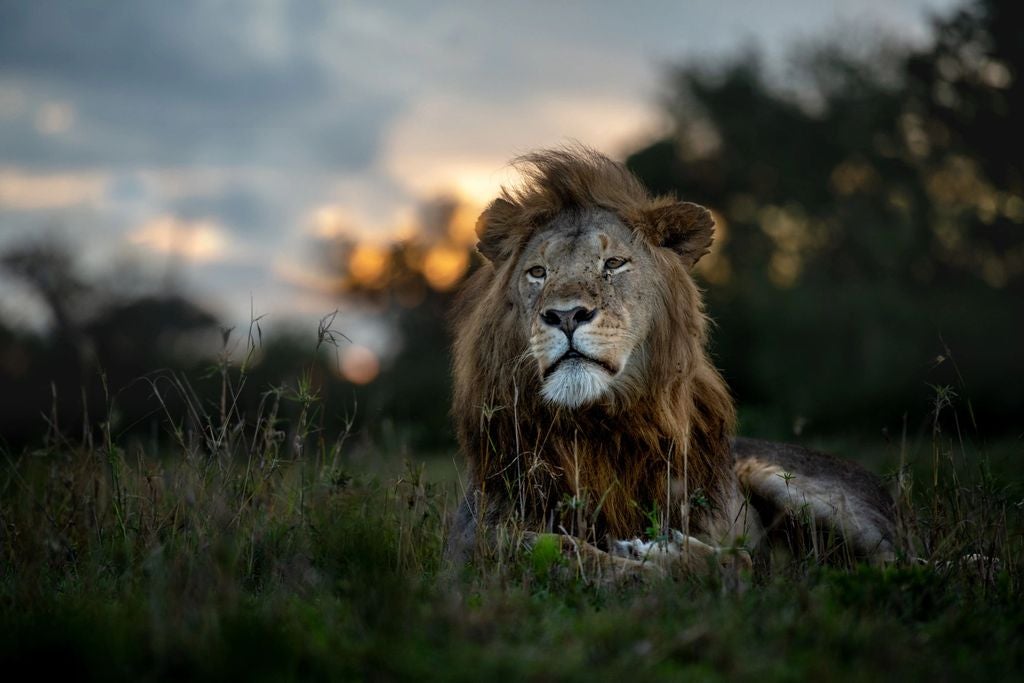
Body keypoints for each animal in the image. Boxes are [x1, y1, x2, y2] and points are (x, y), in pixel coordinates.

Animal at [448, 145, 897, 581]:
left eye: (613, 264)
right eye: (538, 272)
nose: (566, 315)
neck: (596, 428)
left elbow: (739, 560)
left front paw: (658, 556)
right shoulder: (473, 536)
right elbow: (547, 549)